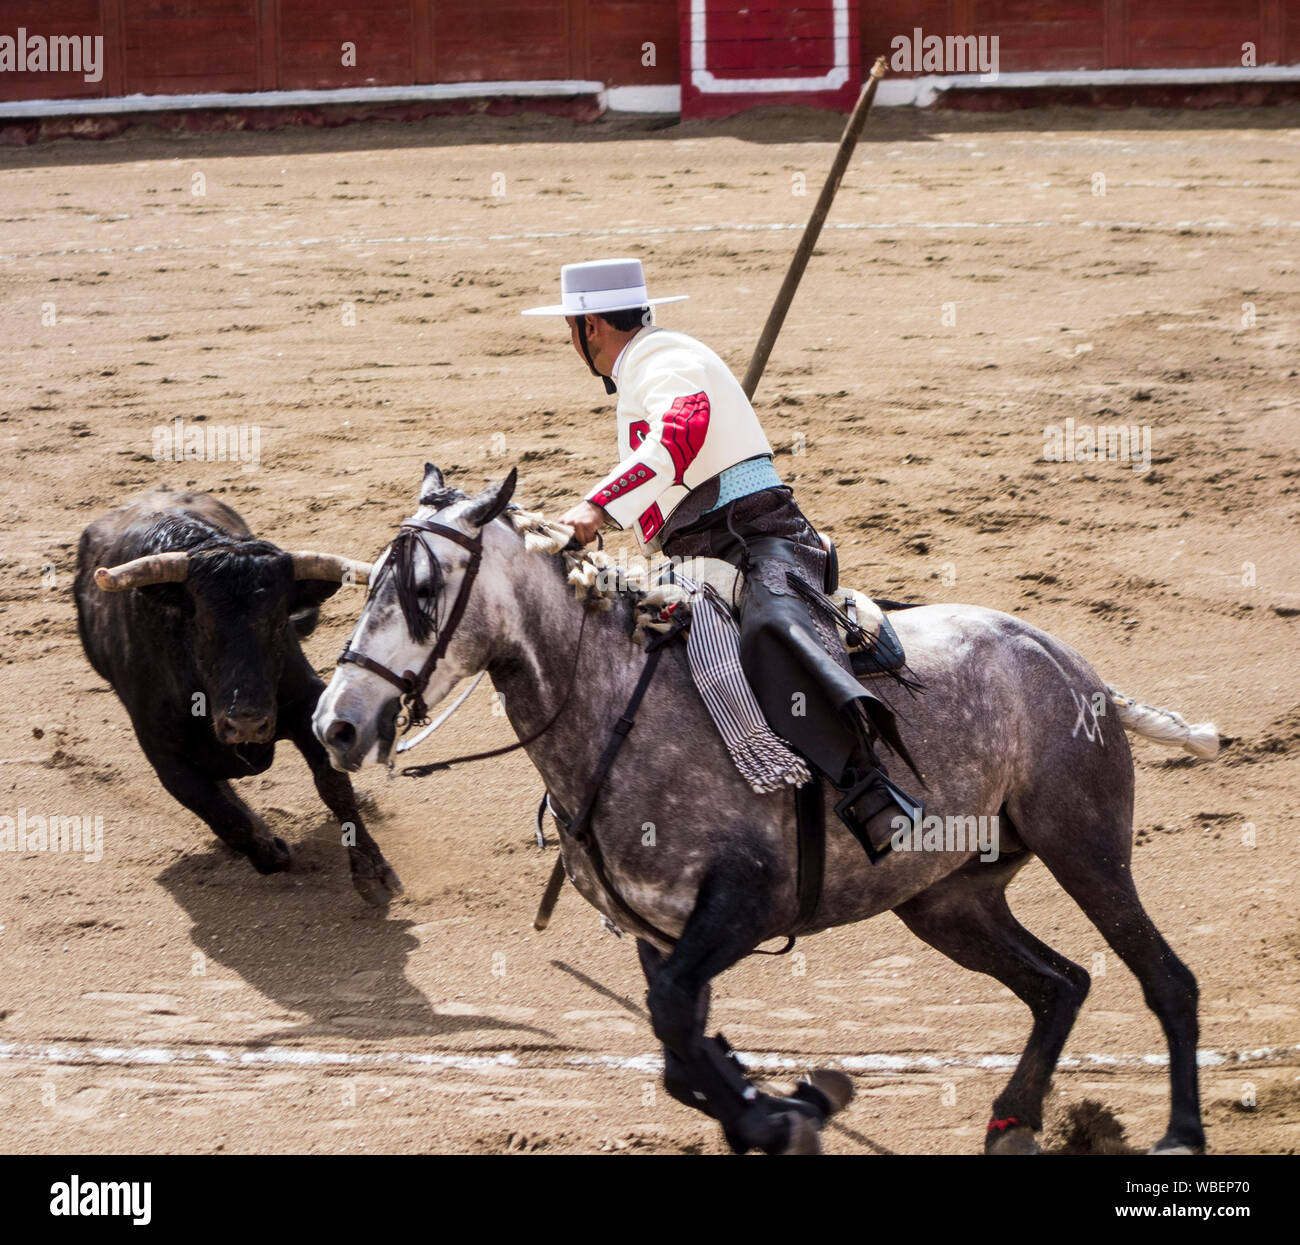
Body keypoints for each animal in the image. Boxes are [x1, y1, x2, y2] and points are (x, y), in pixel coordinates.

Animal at [74, 490, 400, 906]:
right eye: (201, 624)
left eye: (277, 622)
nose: (246, 721)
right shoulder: (164, 756)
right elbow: (223, 815)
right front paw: (271, 849)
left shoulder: (306, 705)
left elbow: (333, 786)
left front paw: (371, 872)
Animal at [313, 463, 1218, 1156]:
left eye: (423, 587)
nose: (335, 723)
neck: (613, 703)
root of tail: (1075, 668)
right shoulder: (660, 931)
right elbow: (681, 1050)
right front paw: (792, 1104)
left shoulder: (745, 903)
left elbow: (679, 1030)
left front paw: (787, 1114)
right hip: (948, 901)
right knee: (1060, 984)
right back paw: (1013, 1120)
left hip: (1087, 847)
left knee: (1166, 979)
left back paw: (1178, 1133)